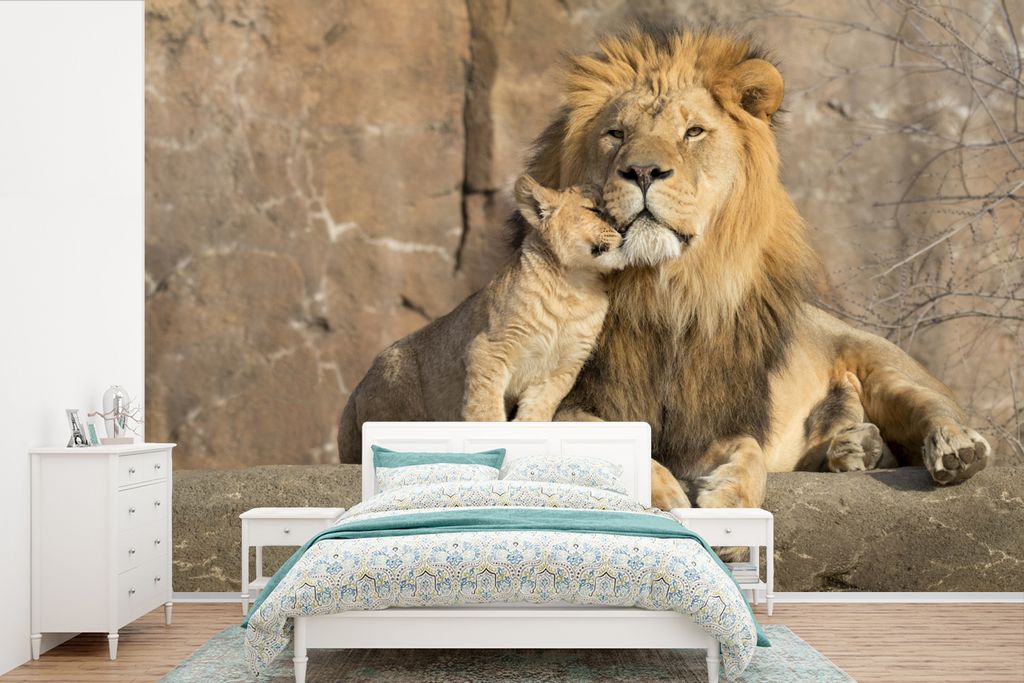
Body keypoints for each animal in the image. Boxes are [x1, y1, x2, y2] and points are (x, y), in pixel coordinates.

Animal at [338, 26, 992, 511]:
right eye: (616, 133)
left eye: (693, 131)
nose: (644, 171)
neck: (668, 294)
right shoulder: (581, 400)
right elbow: (624, 446)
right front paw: (668, 495)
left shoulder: (714, 416)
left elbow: (750, 454)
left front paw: (730, 506)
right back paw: (854, 448)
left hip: (880, 359)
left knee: (932, 406)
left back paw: (951, 450)